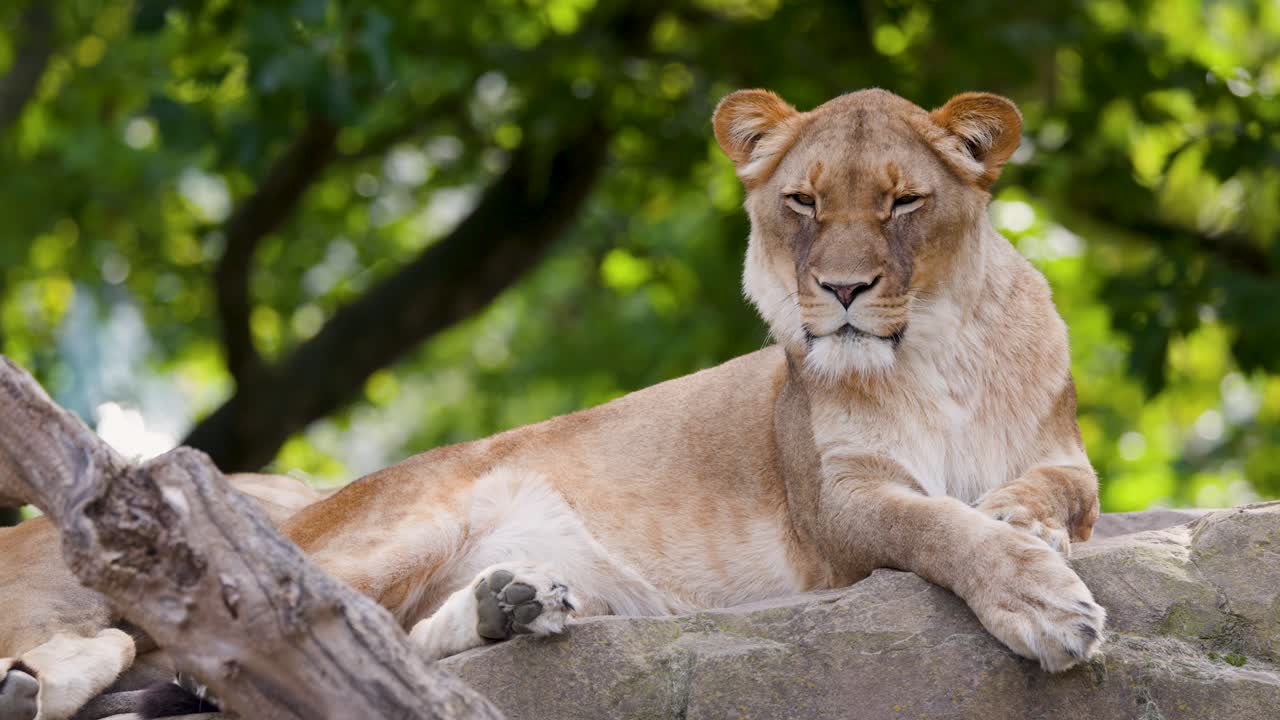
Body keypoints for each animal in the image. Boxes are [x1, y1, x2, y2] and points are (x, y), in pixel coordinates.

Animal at [0, 87, 1103, 720]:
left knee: (376, 647)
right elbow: (934, 524)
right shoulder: (834, 504)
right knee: (212, 633)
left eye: (902, 203)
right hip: (395, 524)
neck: (936, 357)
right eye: (803, 203)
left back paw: (512, 600)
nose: (837, 291)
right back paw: (43, 683)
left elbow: (1056, 493)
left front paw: (1023, 523)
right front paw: (1043, 601)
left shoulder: (1065, 453)